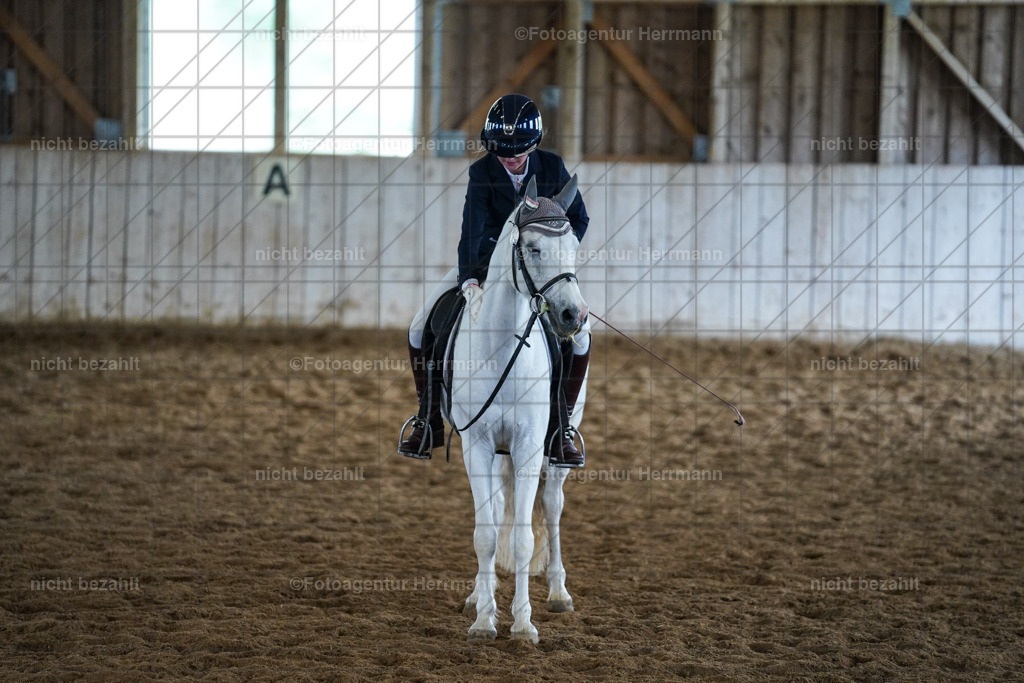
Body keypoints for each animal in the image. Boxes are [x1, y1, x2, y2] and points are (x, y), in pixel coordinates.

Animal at [443, 175, 588, 643]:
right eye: (534, 248)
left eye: (574, 245)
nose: (572, 315)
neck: (504, 349)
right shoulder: (477, 445)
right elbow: (485, 534)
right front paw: (483, 620)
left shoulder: (527, 446)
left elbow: (524, 538)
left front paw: (523, 624)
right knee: (494, 510)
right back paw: (478, 595)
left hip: (555, 448)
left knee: (554, 507)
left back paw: (559, 593)